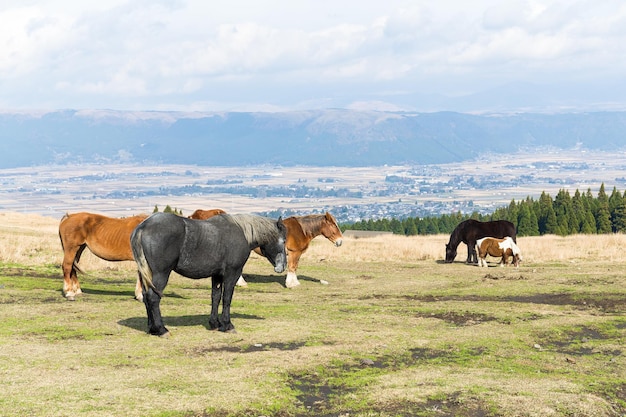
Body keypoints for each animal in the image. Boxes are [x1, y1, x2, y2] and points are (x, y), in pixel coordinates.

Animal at [133, 211, 288, 334]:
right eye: (284, 241)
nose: (283, 266)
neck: (242, 232)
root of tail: (143, 227)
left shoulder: (217, 275)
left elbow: (216, 297)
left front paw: (215, 324)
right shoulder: (232, 273)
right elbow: (226, 298)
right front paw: (227, 325)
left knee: (146, 296)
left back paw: (152, 328)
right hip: (161, 274)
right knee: (153, 298)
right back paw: (161, 329)